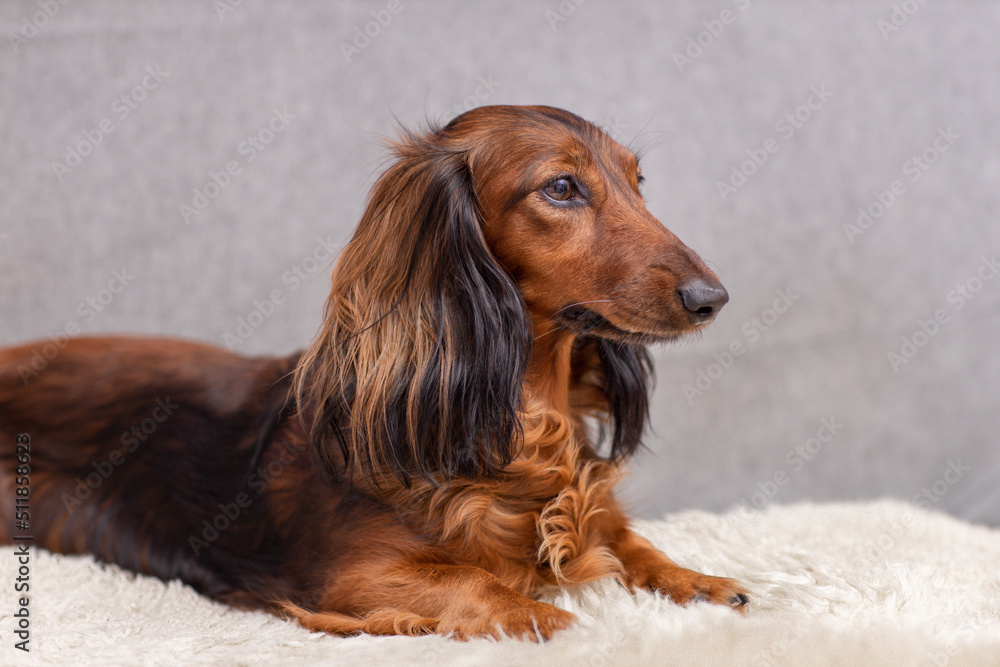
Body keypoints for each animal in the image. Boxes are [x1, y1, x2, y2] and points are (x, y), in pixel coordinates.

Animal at [0, 105, 748, 640]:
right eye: (562, 187)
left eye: (637, 182)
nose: (712, 298)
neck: (526, 415)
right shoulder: (349, 574)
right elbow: (476, 583)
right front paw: (551, 617)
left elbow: (628, 539)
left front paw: (700, 580)